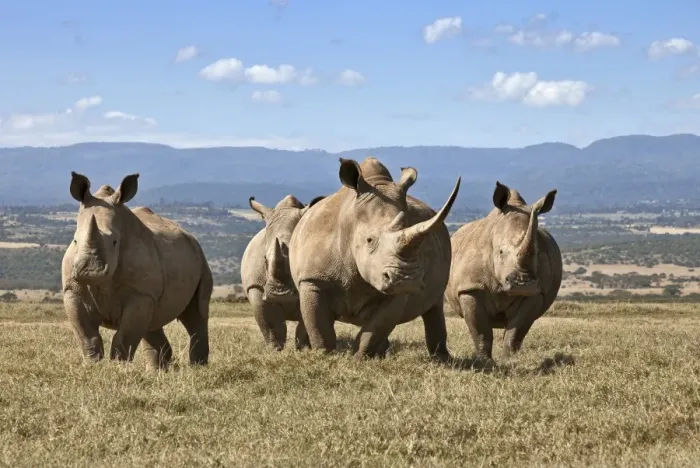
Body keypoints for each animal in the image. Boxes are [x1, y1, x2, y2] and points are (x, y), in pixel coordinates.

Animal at [61, 172, 213, 369]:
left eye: (115, 242)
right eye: (75, 241)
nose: (90, 271)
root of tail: (191, 236)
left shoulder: (141, 294)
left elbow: (124, 337)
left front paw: (117, 369)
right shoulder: (72, 290)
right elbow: (87, 336)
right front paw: (92, 367)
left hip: (201, 260)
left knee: (196, 315)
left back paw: (197, 369)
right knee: (153, 323)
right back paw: (156, 372)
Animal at [241, 194, 325, 350]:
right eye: (264, 259)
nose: (280, 294)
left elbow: (306, 322)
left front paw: (303, 349)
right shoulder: (256, 286)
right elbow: (271, 326)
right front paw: (274, 350)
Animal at [289, 157, 460, 360]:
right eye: (369, 240)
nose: (406, 279)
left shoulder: (396, 291)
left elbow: (375, 328)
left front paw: (359, 359)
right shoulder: (312, 279)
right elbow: (319, 327)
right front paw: (324, 356)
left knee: (434, 306)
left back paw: (441, 360)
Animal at [445, 182, 562, 360]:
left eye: (537, 253)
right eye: (500, 252)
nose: (523, 285)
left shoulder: (536, 293)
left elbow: (515, 332)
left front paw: (509, 359)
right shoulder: (470, 287)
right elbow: (481, 332)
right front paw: (484, 360)